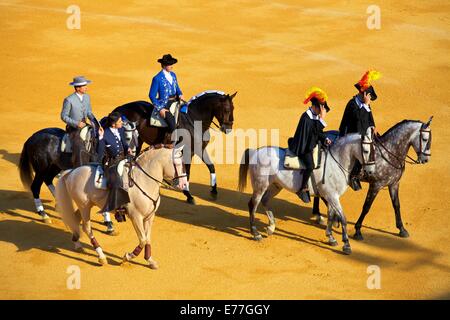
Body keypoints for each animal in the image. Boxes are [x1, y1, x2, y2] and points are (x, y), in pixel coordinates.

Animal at [55, 145, 187, 268]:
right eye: (178, 164)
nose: (184, 184)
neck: (144, 180)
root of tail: (72, 172)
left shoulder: (150, 217)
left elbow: (148, 238)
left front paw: (150, 260)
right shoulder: (136, 216)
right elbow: (143, 239)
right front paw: (127, 257)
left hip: (86, 205)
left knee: (75, 219)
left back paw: (77, 243)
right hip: (84, 206)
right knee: (87, 228)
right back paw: (101, 257)